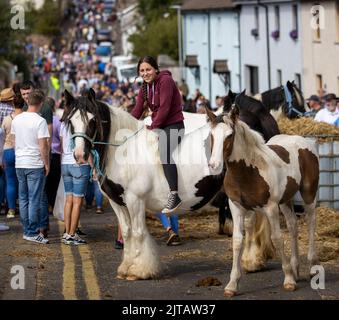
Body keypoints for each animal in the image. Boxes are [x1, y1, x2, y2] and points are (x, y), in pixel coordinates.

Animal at [207, 106, 322, 296]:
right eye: (211, 135)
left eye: (229, 135)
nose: (214, 165)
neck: (249, 170)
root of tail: (304, 141)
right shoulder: (236, 207)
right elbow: (237, 240)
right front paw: (232, 284)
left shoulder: (270, 207)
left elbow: (277, 238)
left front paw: (288, 280)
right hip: (285, 200)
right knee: (293, 225)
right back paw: (296, 268)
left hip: (308, 193)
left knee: (311, 221)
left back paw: (312, 266)